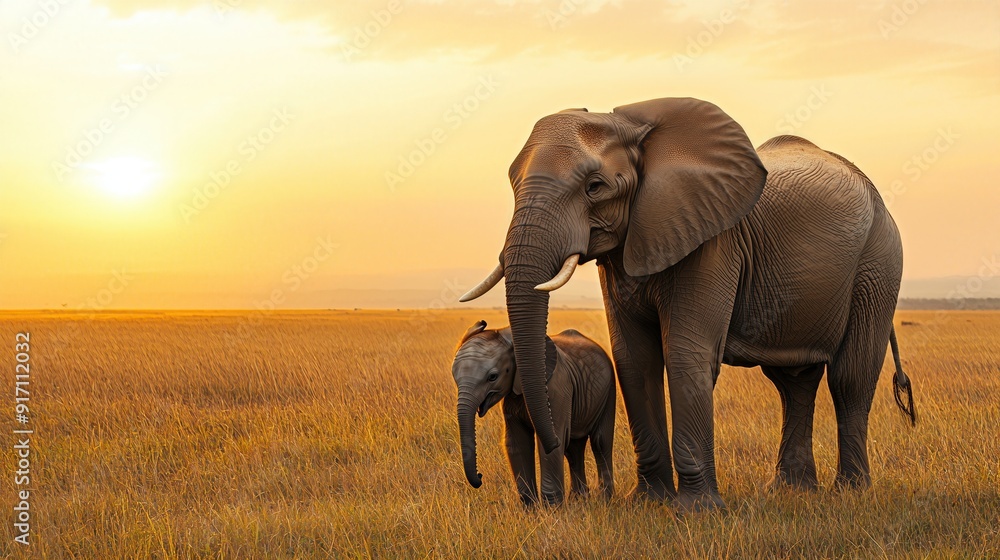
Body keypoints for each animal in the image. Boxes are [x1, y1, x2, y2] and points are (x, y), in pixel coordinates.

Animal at [451, 320, 616, 506]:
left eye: (493, 377)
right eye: (454, 376)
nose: (480, 477)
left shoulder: (555, 389)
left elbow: (550, 442)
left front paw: (553, 509)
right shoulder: (512, 397)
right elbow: (516, 442)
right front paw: (531, 509)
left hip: (609, 388)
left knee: (600, 441)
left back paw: (604, 500)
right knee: (573, 448)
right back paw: (579, 500)